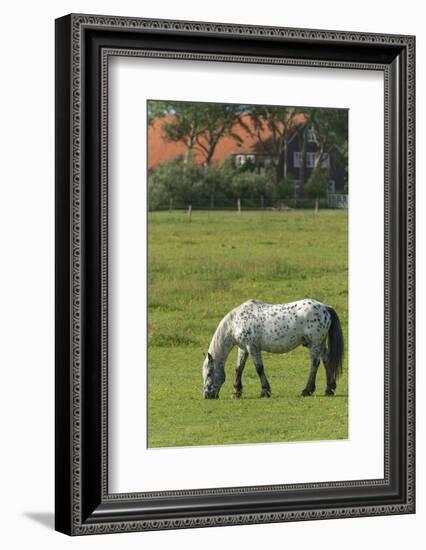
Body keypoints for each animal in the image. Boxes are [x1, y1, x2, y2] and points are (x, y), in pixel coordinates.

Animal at [201, 302, 344, 402]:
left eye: (209, 374)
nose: (206, 395)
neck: (236, 322)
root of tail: (325, 307)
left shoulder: (252, 347)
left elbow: (259, 368)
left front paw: (265, 391)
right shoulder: (243, 348)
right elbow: (239, 368)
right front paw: (236, 392)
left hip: (314, 343)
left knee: (315, 363)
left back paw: (307, 390)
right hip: (320, 343)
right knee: (326, 361)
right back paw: (329, 389)